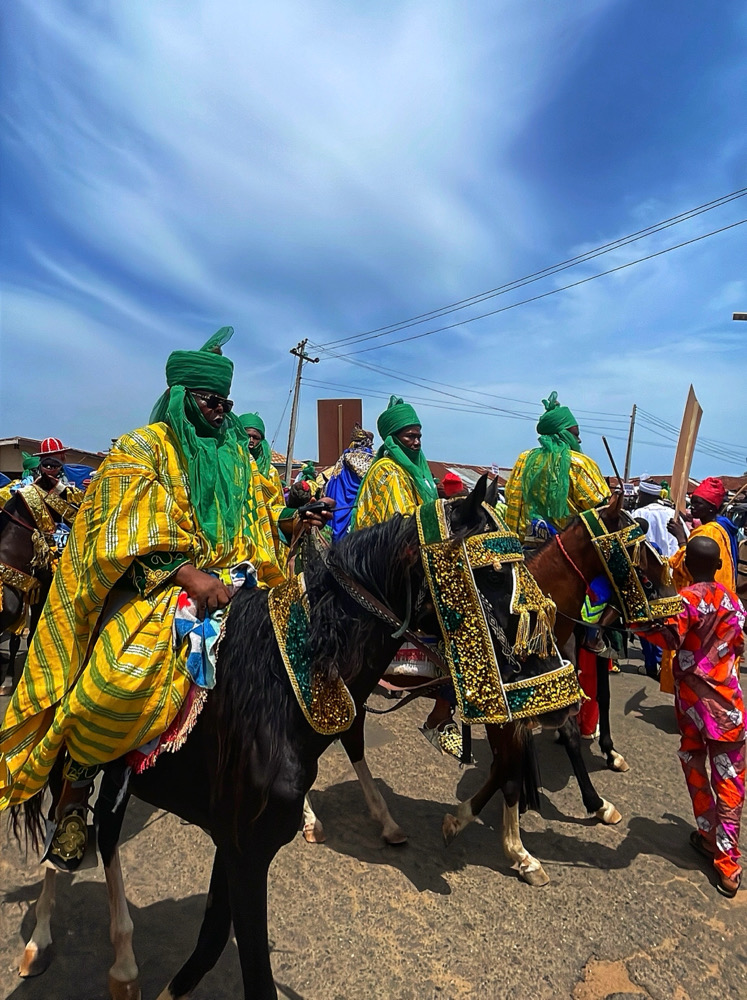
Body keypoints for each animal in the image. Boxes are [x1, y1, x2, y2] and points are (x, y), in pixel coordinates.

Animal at [16, 480, 580, 1000]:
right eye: (492, 572)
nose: (562, 697)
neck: (281, 690)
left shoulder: (235, 842)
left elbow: (209, 944)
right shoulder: (246, 850)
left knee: (107, 832)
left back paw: (121, 962)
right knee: (68, 824)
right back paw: (43, 940)